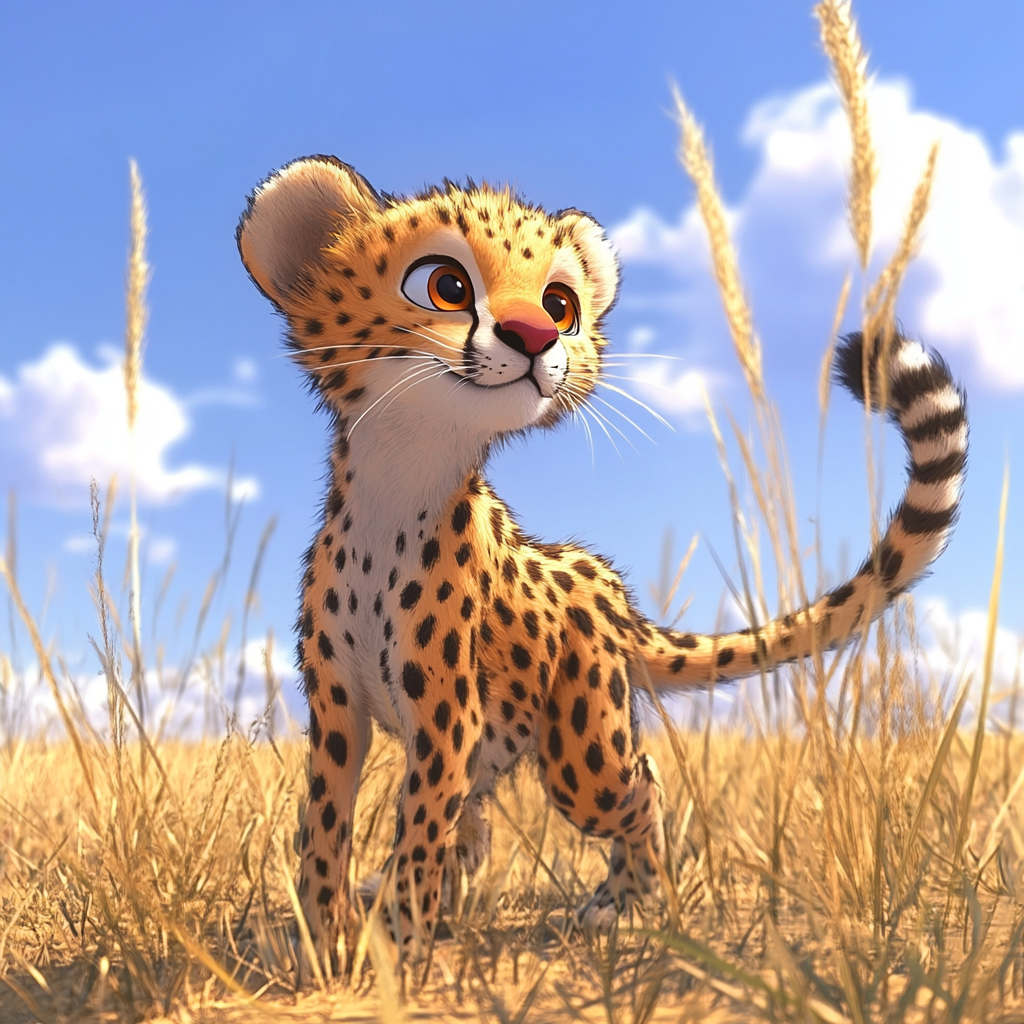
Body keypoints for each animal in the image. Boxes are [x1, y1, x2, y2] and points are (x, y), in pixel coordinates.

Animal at [237, 155, 967, 964]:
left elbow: (421, 825)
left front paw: (392, 945)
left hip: (582, 751)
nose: (532, 337)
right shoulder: (339, 709)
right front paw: (316, 933)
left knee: (639, 784)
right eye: (445, 285)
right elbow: (325, 822)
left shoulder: (447, 717)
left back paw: (623, 901)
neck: (398, 485)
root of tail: (610, 591)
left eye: (559, 304)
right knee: (480, 823)